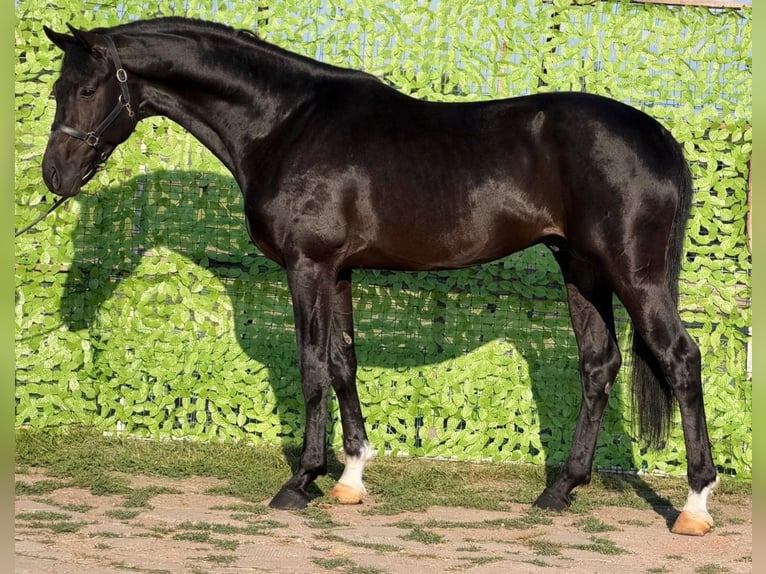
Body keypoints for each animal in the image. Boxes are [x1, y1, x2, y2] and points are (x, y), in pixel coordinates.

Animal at [40, 17, 718, 536]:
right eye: (54, 90)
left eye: (86, 89)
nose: (55, 175)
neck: (285, 123)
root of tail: (659, 136)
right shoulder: (337, 272)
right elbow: (343, 363)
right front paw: (350, 478)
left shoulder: (308, 267)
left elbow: (312, 366)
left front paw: (301, 480)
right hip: (579, 267)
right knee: (599, 365)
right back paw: (561, 490)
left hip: (633, 274)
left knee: (682, 359)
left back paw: (694, 505)